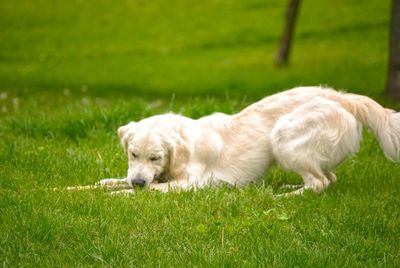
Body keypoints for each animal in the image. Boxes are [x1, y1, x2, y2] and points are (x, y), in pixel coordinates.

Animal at [97, 86, 400, 195]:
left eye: (155, 157)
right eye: (132, 154)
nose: (138, 181)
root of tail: (342, 97)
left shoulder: (191, 184)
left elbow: (148, 191)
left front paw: (121, 195)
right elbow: (110, 182)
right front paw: (100, 186)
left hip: (283, 136)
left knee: (319, 183)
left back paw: (286, 196)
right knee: (327, 178)